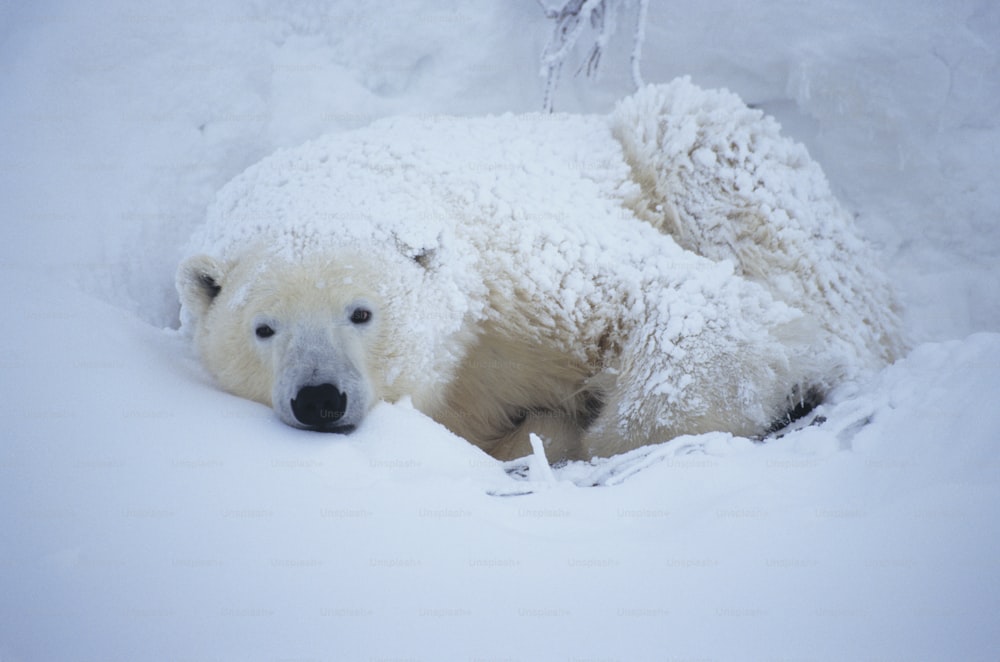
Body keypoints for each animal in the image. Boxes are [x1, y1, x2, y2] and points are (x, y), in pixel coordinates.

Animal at [176, 79, 904, 462]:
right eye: (263, 328)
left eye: (361, 312)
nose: (319, 398)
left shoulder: (527, 264)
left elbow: (694, 309)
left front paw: (585, 438)